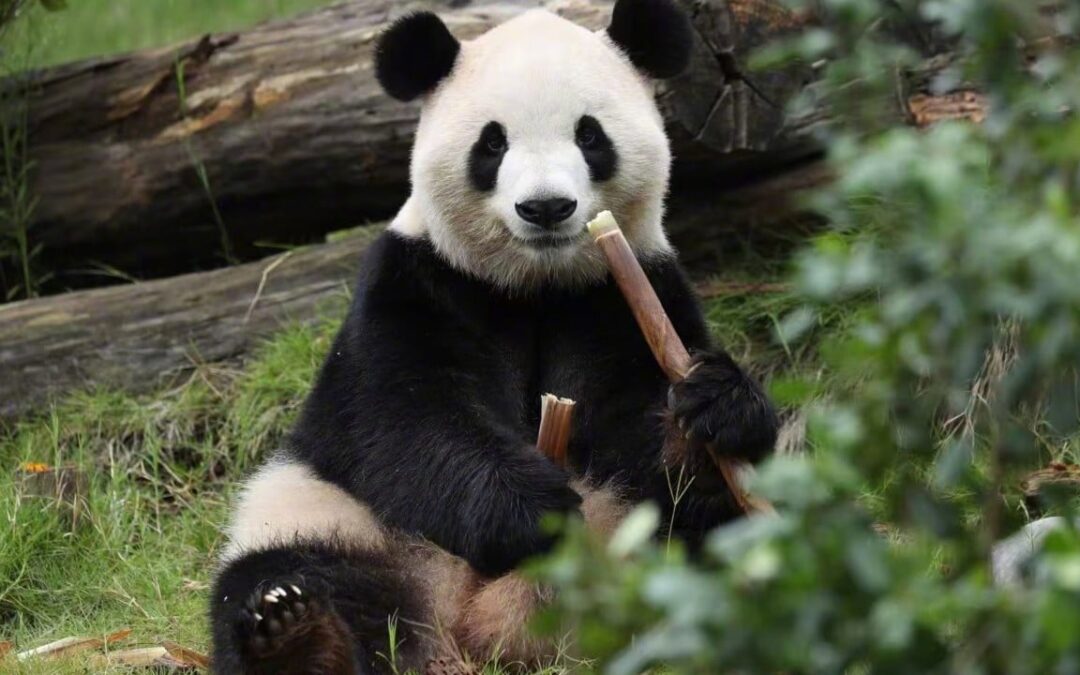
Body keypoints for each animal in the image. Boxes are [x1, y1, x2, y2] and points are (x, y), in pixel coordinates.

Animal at [209, 0, 778, 673]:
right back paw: (296, 633)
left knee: (712, 538)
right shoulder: (416, 282)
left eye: (590, 136)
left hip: (633, 540)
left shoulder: (625, 291)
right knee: (289, 573)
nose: (546, 208)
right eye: (493, 142)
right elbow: (403, 417)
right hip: (329, 515)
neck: (536, 284)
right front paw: (531, 510)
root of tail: (472, 627)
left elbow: (637, 427)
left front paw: (714, 407)